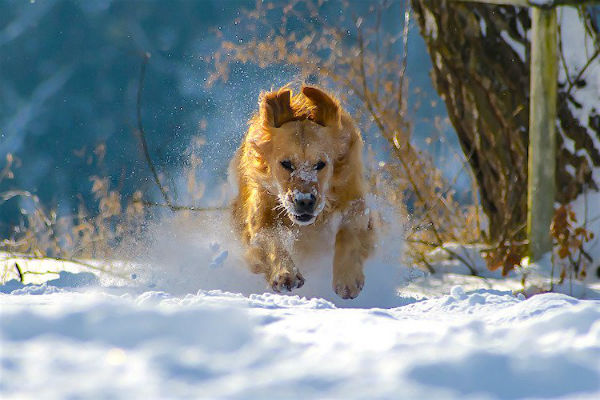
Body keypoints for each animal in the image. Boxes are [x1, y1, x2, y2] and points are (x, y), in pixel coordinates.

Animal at [230, 86, 376, 298]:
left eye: (321, 164)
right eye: (286, 164)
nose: (305, 201)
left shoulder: (354, 199)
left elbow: (349, 231)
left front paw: (347, 278)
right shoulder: (259, 217)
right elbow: (271, 238)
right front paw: (285, 274)